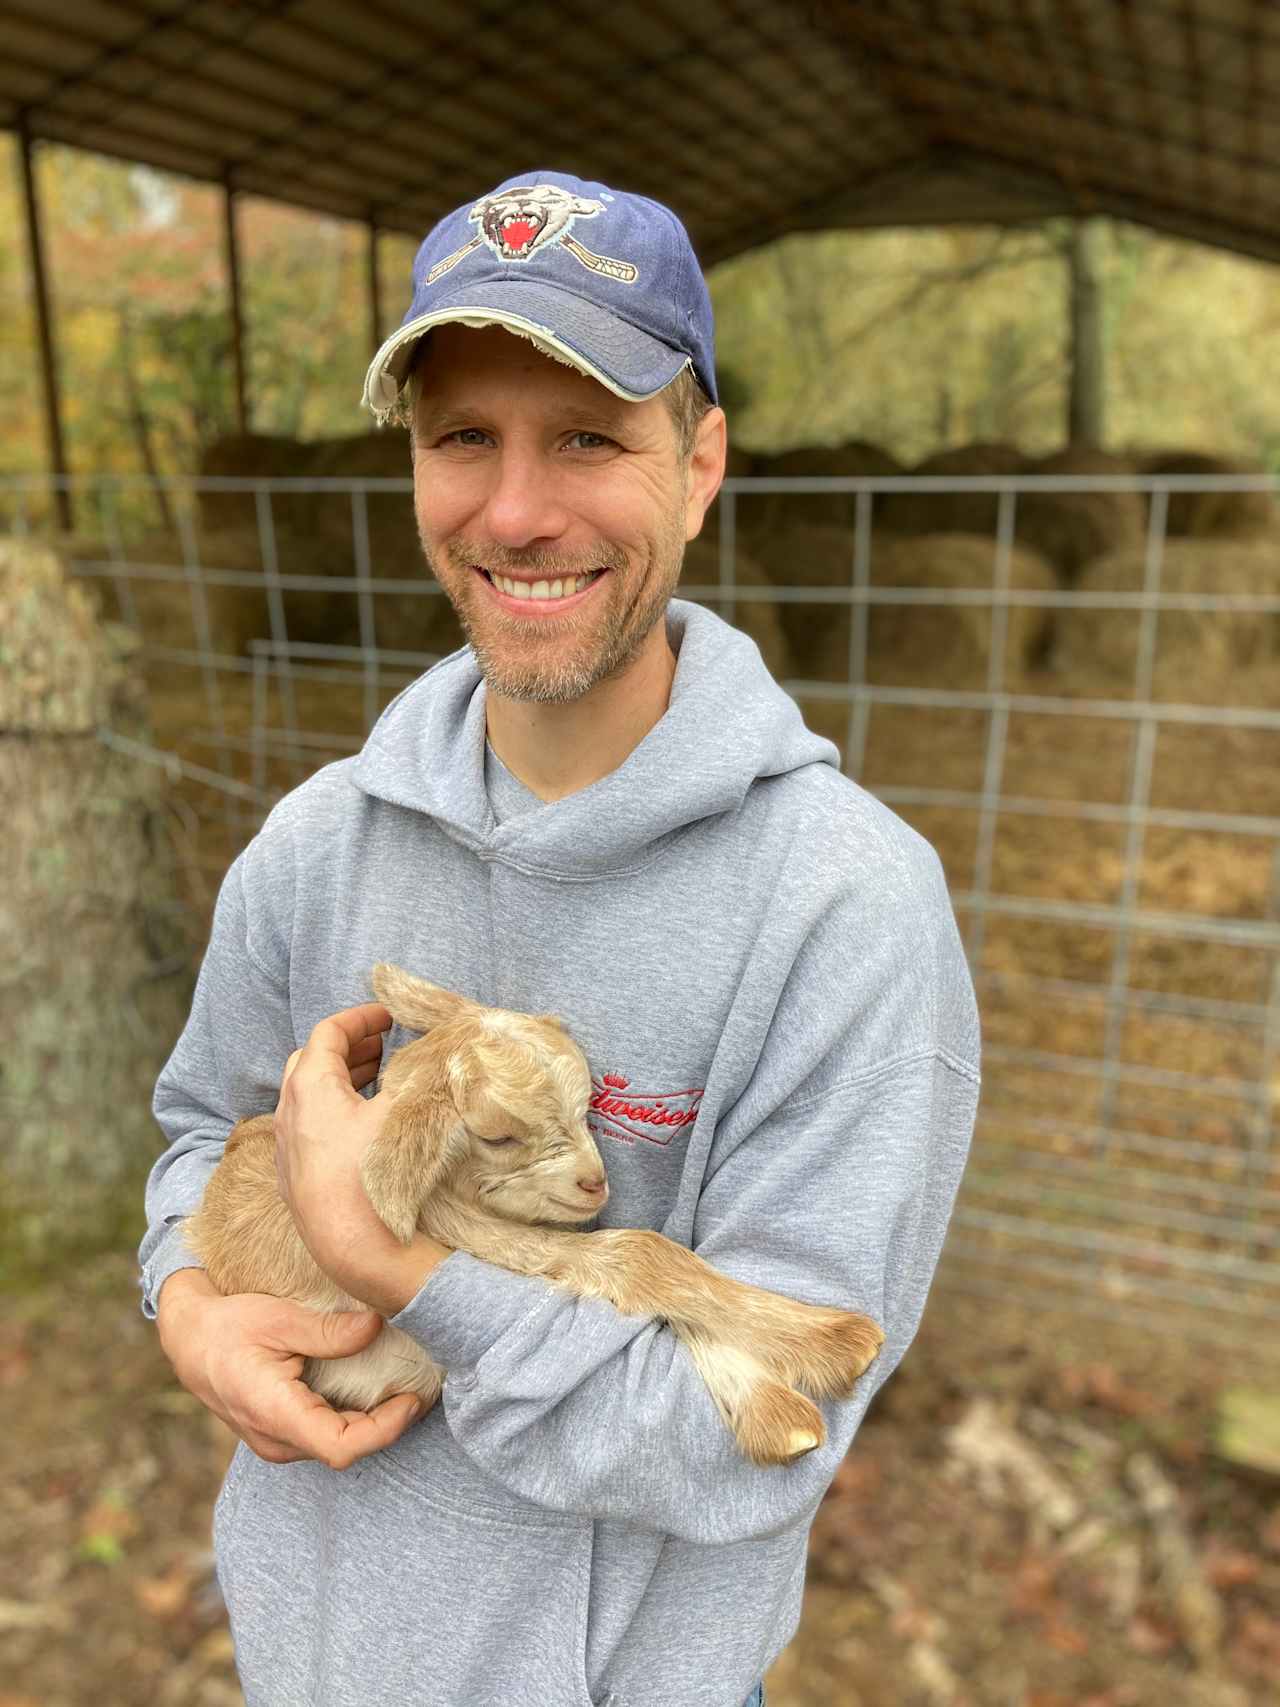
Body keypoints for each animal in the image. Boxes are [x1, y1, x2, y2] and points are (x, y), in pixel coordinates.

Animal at [187, 962, 880, 1468]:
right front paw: (831, 1355)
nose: (594, 1182)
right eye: (497, 1137)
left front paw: (790, 1398)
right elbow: (639, 1254)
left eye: (586, 1109)